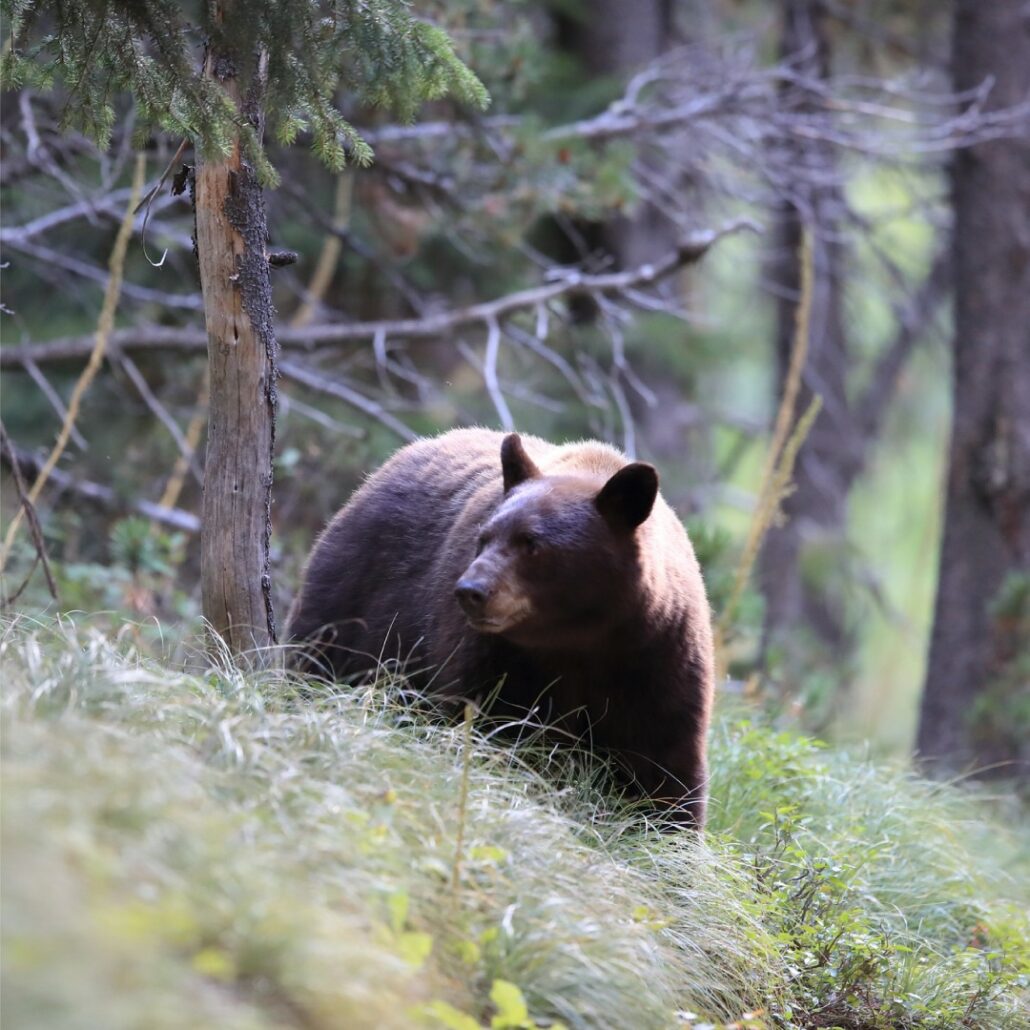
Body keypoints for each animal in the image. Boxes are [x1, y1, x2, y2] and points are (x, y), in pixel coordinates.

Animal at [286, 428, 712, 828]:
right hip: (352, 604)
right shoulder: (496, 657)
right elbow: (488, 722)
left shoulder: (657, 658)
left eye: (532, 543)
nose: (470, 590)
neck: (578, 640)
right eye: (484, 537)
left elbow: (664, 762)